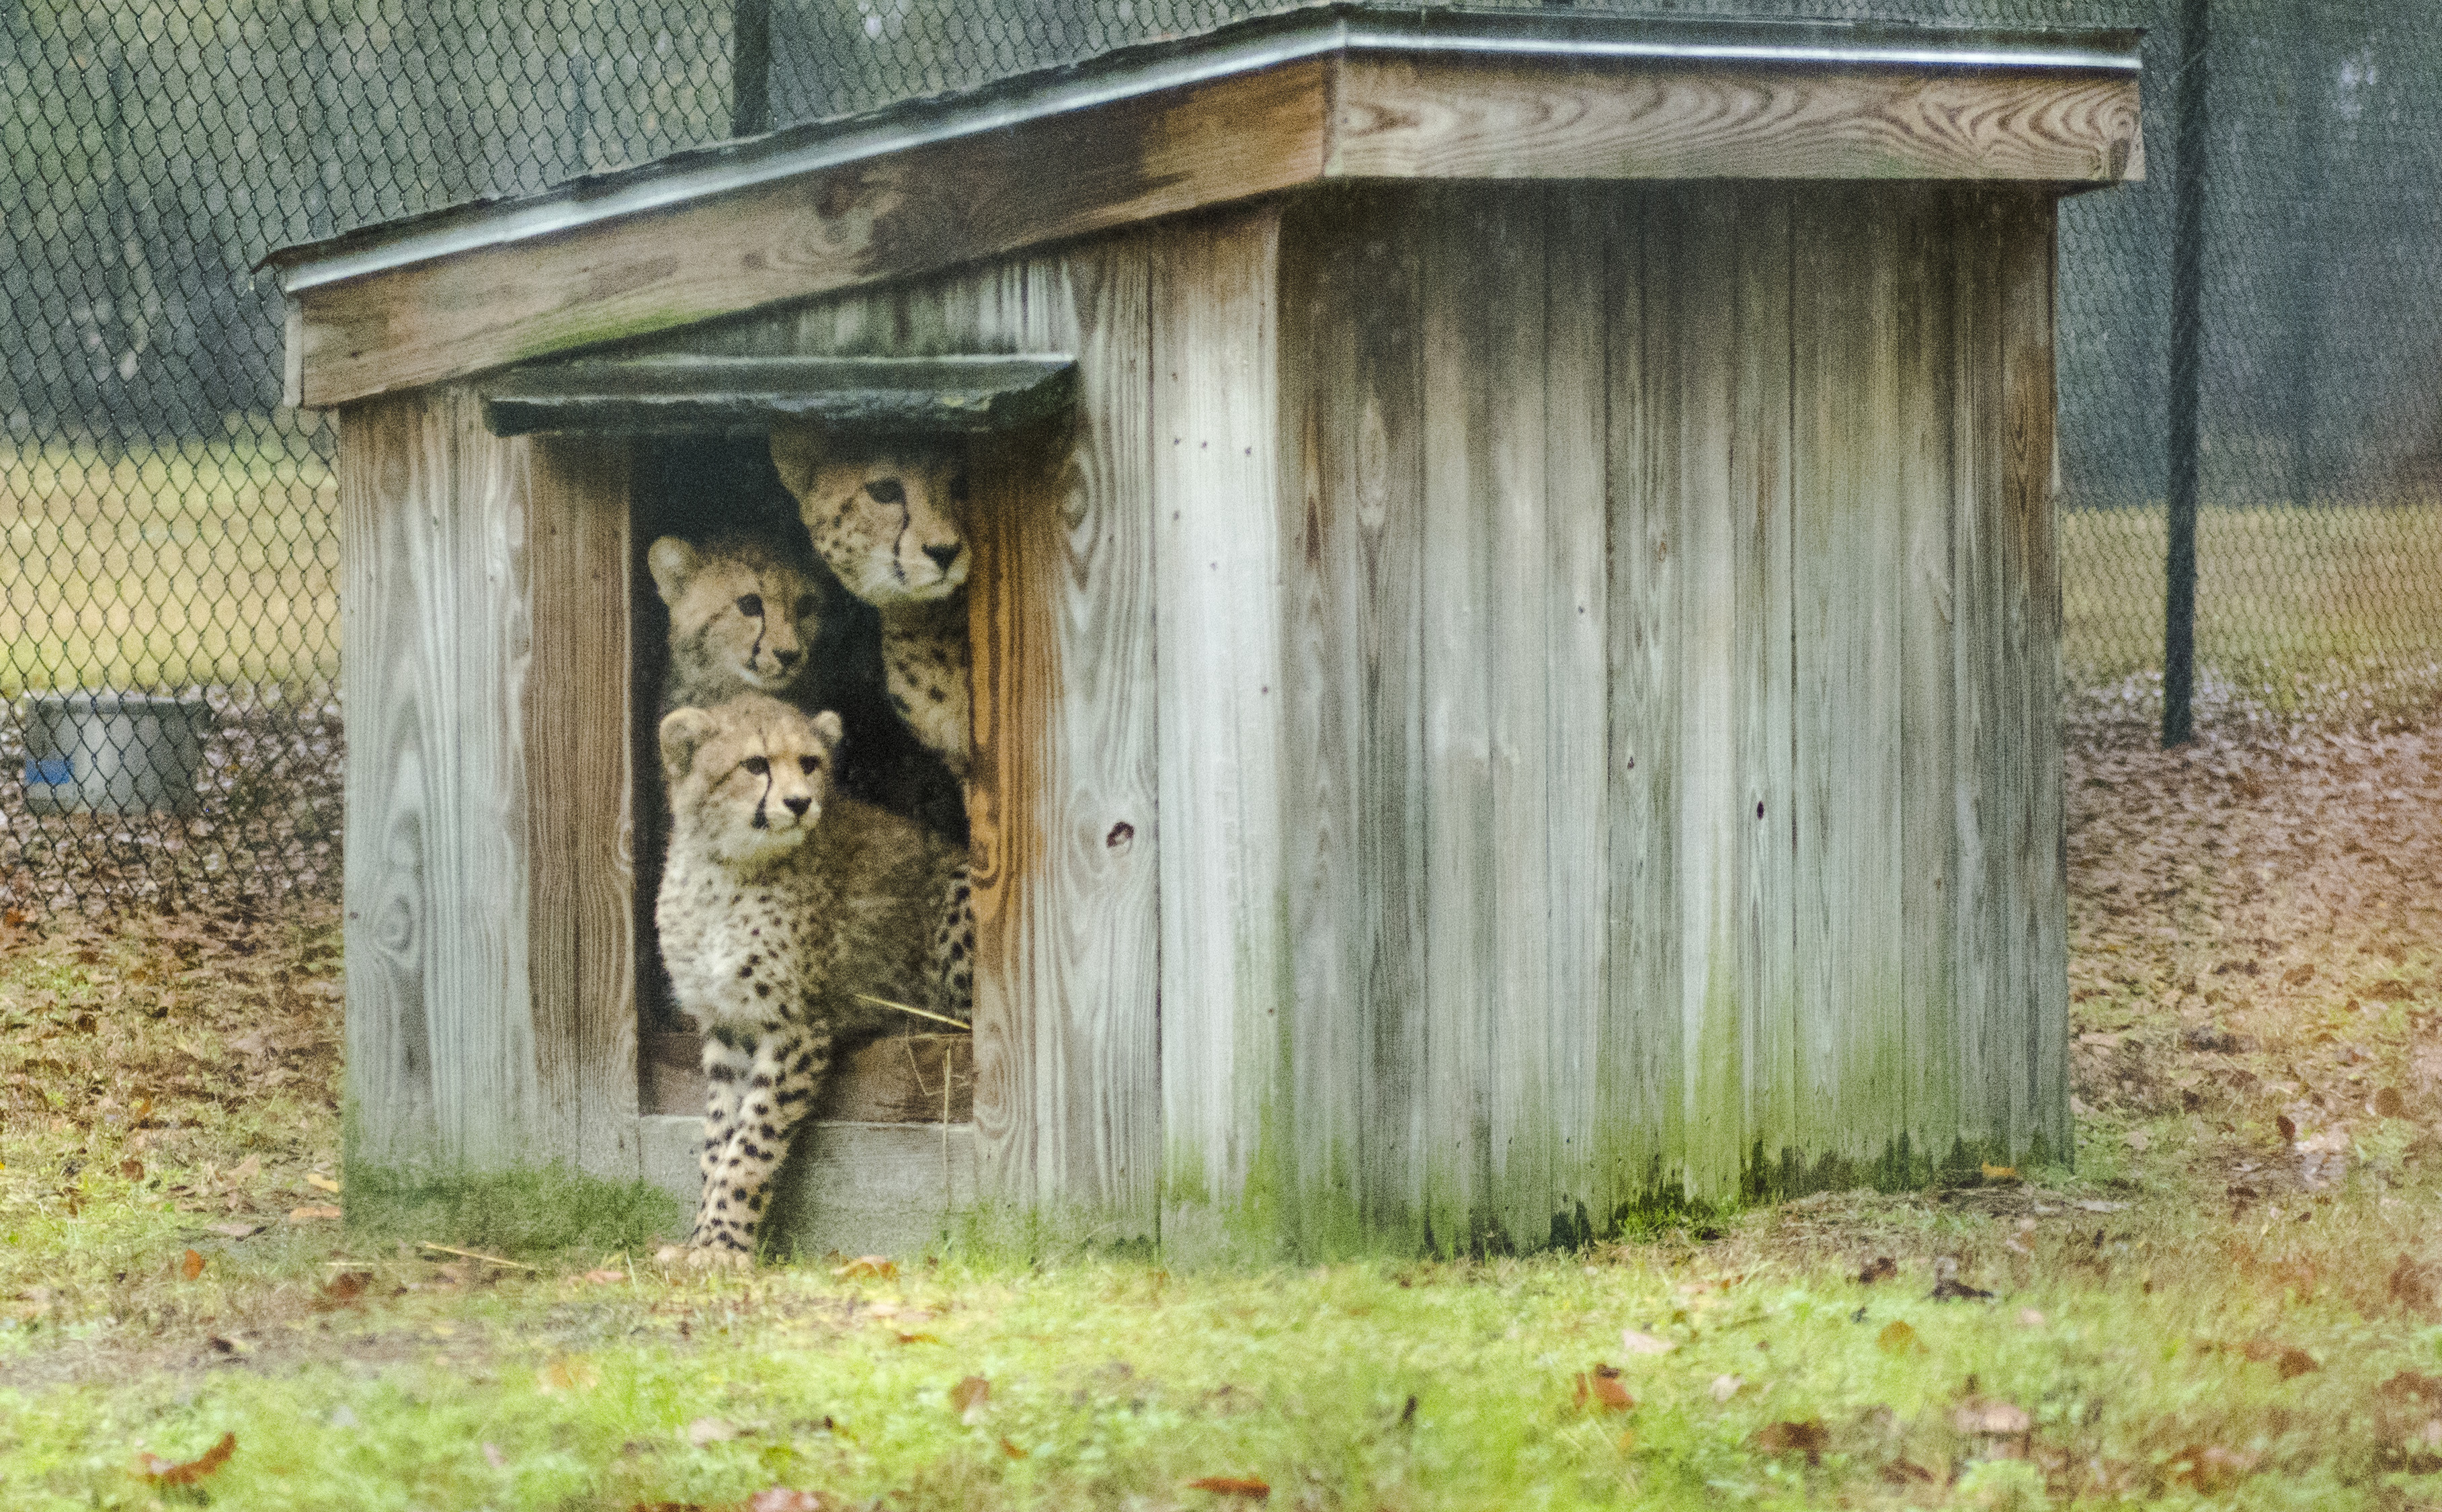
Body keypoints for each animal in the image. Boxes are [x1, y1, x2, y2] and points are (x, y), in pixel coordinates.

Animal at [654, 693, 975, 1258]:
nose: (800, 802)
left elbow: (750, 1146)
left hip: (961, 883)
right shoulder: (725, 1026)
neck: (724, 872)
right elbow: (717, 1141)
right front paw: (701, 1239)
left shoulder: (795, 1026)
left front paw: (723, 1244)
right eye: (754, 765)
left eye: (809, 763)